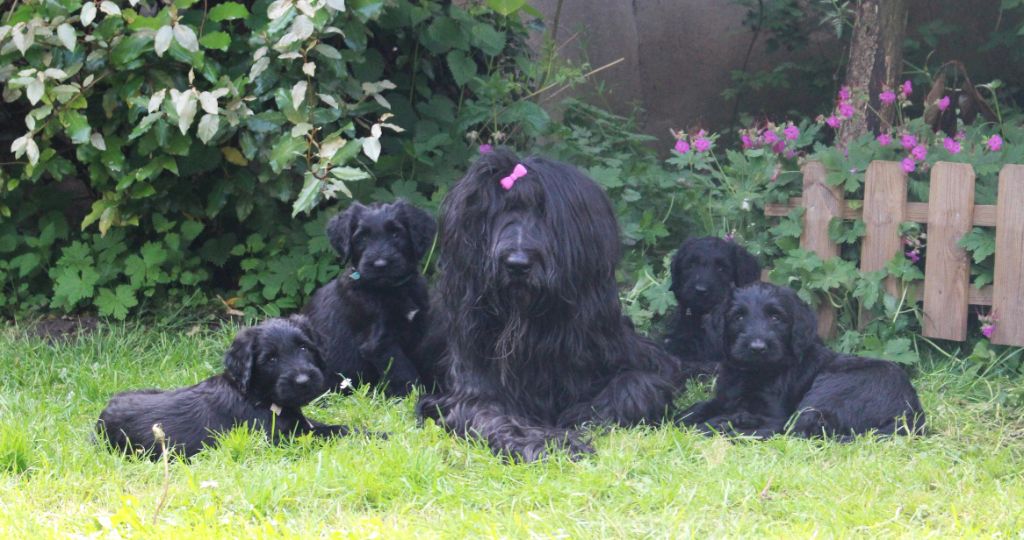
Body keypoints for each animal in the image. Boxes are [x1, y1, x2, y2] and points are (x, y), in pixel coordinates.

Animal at [96, 315, 360, 459]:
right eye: (271, 359)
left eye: (304, 347)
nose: (304, 381)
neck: (255, 395)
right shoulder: (278, 440)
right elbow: (328, 434)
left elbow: (331, 426)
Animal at [301, 200, 434, 395]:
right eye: (362, 238)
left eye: (395, 233)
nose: (380, 265)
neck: (392, 290)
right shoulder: (379, 343)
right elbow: (403, 370)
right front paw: (414, 395)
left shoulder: (418, 328)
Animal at [415, 149, 679, 463]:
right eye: (495, 213)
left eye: (543, 212)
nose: (517, 264)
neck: (532, 327)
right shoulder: (469, 387)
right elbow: (491, 415)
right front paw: (552, 442)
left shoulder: (641, 356)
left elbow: (639, 385)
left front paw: (581, 414)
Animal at [679, 282, 929, 438]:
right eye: (738, 317)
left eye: (776, 317)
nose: (757, 347)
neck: (754, 373)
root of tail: (912, 414)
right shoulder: (725, 397)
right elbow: (700, 406)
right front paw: (681, 416)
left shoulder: (774, 413)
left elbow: (769, 424)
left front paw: (715, 423)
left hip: (829, 390)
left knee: (791, 430)